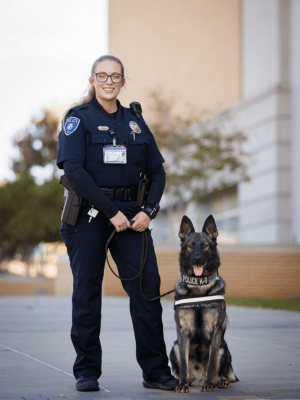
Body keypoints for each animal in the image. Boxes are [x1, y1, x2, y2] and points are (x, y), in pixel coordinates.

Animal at [170, 214, 238, 392]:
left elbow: (212, 362)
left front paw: (209, 385)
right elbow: (184, 363)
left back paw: (219, 381)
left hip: (224, 348)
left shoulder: (216, 331)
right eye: (190, 246)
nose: (197, 259)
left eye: (205, 246)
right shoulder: (183, 331)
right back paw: (184, 381)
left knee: (223, 372)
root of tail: (197, 379)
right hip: (175, 347)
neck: (198, 286)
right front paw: (182, 385)